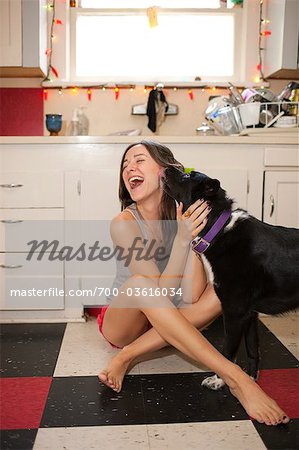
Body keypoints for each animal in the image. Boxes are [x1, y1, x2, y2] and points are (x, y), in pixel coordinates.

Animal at [164, 167, 299, 388]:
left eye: (186, 176)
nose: (166, 167)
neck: (219, 229)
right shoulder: (250, 314)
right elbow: (252, 349)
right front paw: (251, 380)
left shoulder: (234, 312)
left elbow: (227, 352)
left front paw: (219, 380)